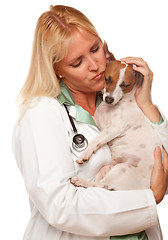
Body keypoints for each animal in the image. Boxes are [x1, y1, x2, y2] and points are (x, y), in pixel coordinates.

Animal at [70, 56, 161, 191]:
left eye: (125, 85)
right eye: (107, 79)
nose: (109, 99)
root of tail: (145, 186)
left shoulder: (114, 128)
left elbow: (96, 140)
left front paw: (85, 154)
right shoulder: (98, 121)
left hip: (121, 169)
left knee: (100, 186)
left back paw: (80, 181)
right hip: (106, 168)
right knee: (98, 185)